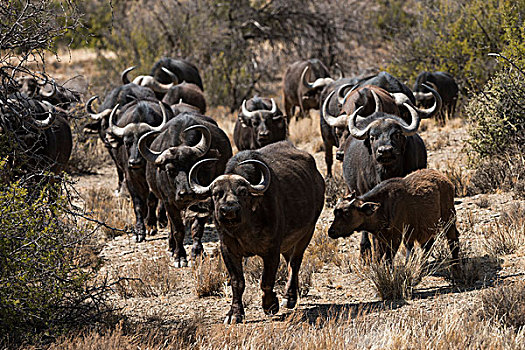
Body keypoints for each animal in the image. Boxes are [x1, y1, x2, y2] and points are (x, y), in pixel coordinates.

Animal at [138, 113, 230, 266]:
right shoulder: (169, 202)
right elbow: (178, 230)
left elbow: (197, 229)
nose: (186, 194)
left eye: (194, 167)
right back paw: (171, 246)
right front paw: (179, 256)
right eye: (170, 170)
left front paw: (197, 253)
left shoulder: (205, 201)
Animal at [188, 141, 326, 324]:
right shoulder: (228, 250)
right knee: (290, 261)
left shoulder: (271, 250)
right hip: (288, 243)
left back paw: (289, 298)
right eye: (217, 194)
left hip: (307, 232)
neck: (244, 229)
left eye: (243, 192)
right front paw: (235, 313)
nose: (229, 210)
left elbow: (266, 280)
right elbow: (237, 282)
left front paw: (270, 305)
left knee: (295, 263)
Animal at [328, 168, 458, 274]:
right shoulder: (380, 239)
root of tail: (446, 180)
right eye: (335, 212)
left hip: (449, 219)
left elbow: (388, 260)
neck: (383, 206)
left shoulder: (395, 238)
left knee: (453, 240)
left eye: (347, 213)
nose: (331, 232)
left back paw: (456, 267)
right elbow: (378, 259)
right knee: (427, 246)